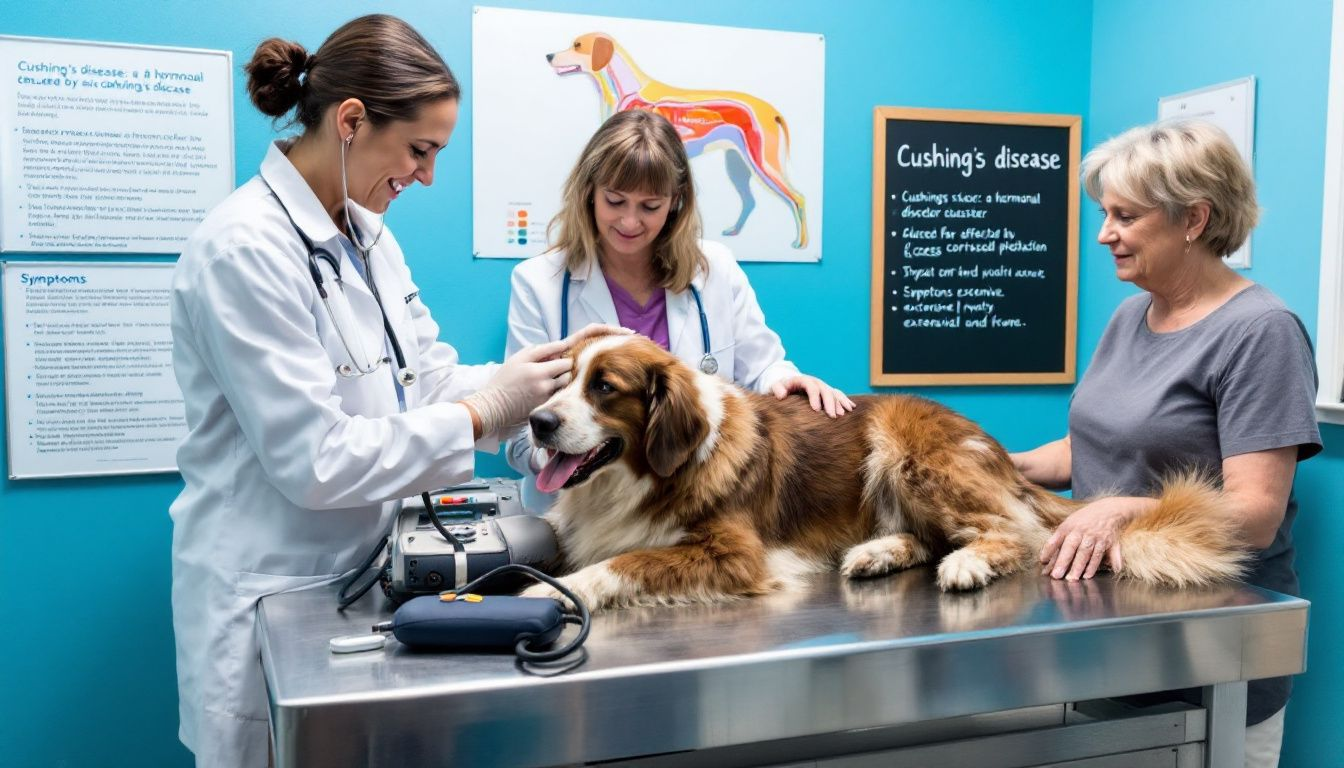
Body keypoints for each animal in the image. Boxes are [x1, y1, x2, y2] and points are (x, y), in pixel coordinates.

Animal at [521, 330, 1247, 613]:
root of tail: (995, 449)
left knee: (1017, 535)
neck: (645, 475)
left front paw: (554, 592)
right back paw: (877, 554)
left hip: (906, 449)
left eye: (604, 388)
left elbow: (628, 562)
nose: (537, 422)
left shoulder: (734, 554)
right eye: (560, 380)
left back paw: (967, 564)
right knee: (931, 537)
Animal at [545, 32, 806, 248]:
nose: (549, 55)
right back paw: (734, 230)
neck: (629, 90)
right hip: (737, 165)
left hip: (762, 163)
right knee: (750, 201)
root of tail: (772, 111)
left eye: (578, 45)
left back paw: (800, 243)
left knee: (798, 198)